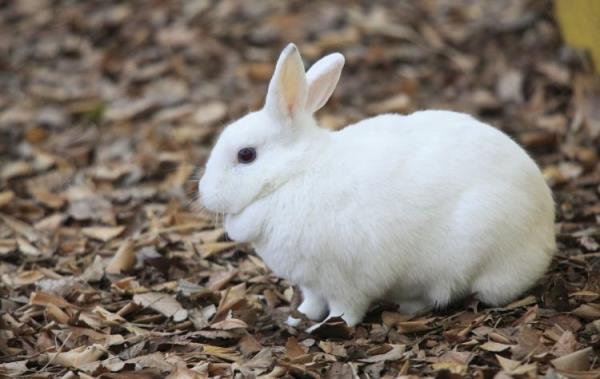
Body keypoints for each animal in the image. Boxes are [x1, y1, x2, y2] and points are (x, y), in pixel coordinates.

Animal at [199, 43, 556, 326]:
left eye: (246, 155)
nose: (205, 194)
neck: (293, 174)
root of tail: (546, 234)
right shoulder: (312, 283)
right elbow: (311, 302)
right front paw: (297, 318)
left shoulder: (344, 281)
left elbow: (345, 311)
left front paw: (325, 327)